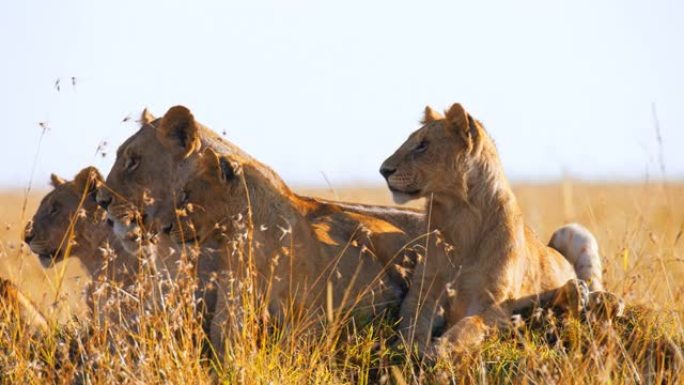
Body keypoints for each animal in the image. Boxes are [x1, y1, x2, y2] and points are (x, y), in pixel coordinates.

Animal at [382, 103, 616, 356]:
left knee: (593, 287)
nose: (383, 170)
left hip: (575, 231)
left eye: (423, 145)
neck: (460, 215)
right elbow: (412, 323)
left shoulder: (493, 303)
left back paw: (591, 297)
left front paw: (440, 350)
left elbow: (468, 325)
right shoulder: (423, 292)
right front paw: (409, 346)